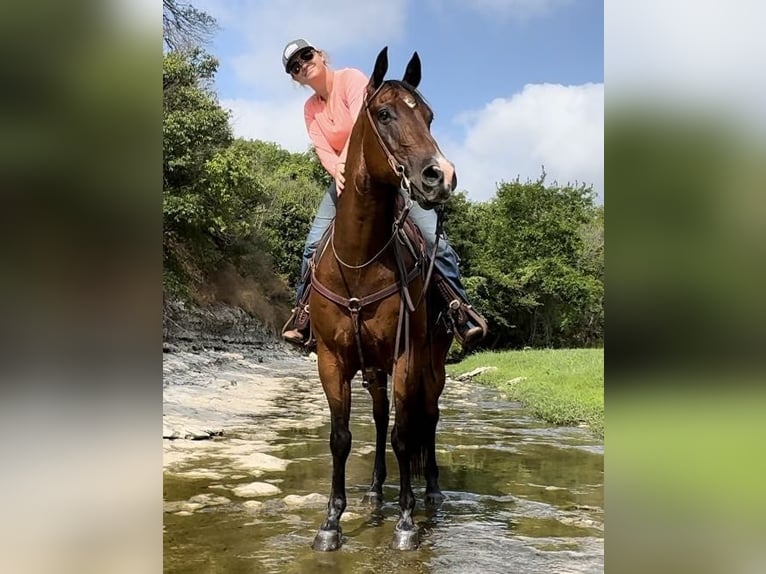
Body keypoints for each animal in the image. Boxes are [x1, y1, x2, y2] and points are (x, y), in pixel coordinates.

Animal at [308, 46, 457, 552]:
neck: (359, 262)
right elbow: (341, 437)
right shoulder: (331, 359)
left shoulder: (406, 355)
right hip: (372, 367)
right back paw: (375, 488)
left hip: (432, 360)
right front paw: (331, 523)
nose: (440, 177)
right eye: (386, 114)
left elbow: (404, 434)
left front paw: (407, 521)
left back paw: (431, 489)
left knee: (427, 415)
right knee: (380, 414)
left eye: (429, 117)